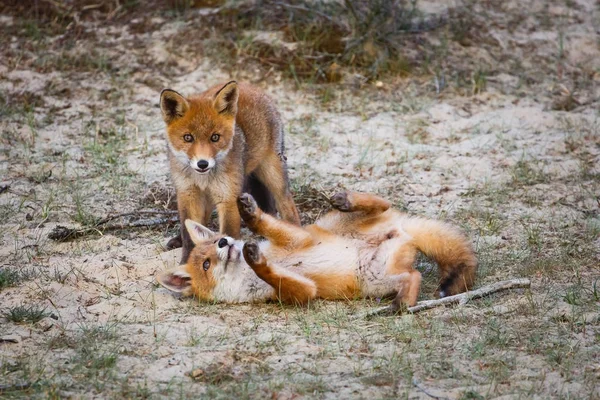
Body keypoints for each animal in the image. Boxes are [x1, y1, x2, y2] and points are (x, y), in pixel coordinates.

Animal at [157, 191, 476, 306]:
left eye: (215, 243)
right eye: (206, 264)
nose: (225, 242)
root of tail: (402, 229)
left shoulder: (297, 239)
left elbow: (266, 225)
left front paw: (250, 214)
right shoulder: (299, 292)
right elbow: (274, 275)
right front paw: (257, 260)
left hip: (329, 224)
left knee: (382, 202)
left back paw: (348, 199)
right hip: (375, 281)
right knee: (413, 277)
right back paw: (403, 303)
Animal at [159, 81, 300, 262]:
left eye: (215, 137)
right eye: (188, 138)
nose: (202, 164)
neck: (203, 178)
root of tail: (249, 85)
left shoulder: (228, 197)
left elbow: (227, 234)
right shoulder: (188, 194)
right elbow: (189, 234)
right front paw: (186, 261)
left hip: (273, 174)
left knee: (288, 207)